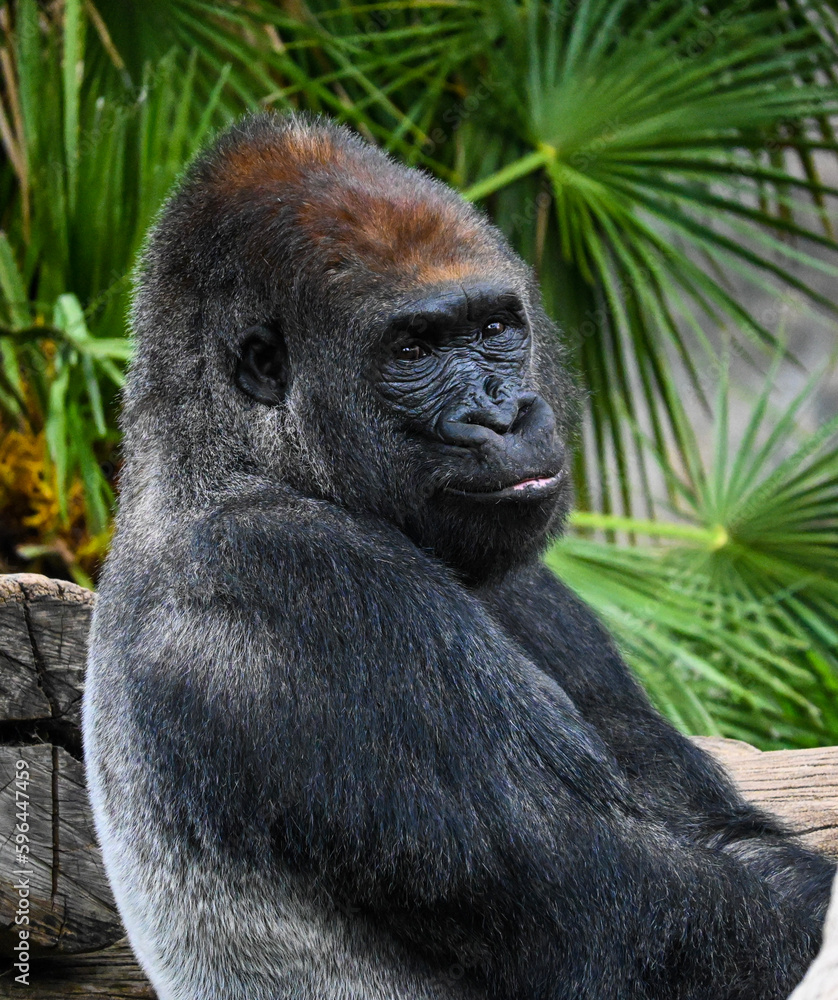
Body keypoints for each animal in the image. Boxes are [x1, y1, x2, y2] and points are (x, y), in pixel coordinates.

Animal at [83, 112, 834, 1000]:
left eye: (494, 329)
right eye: (413, 351)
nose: (505, 415)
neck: (220, 455)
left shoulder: (528, 580)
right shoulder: (296, 577)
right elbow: (656, 914)